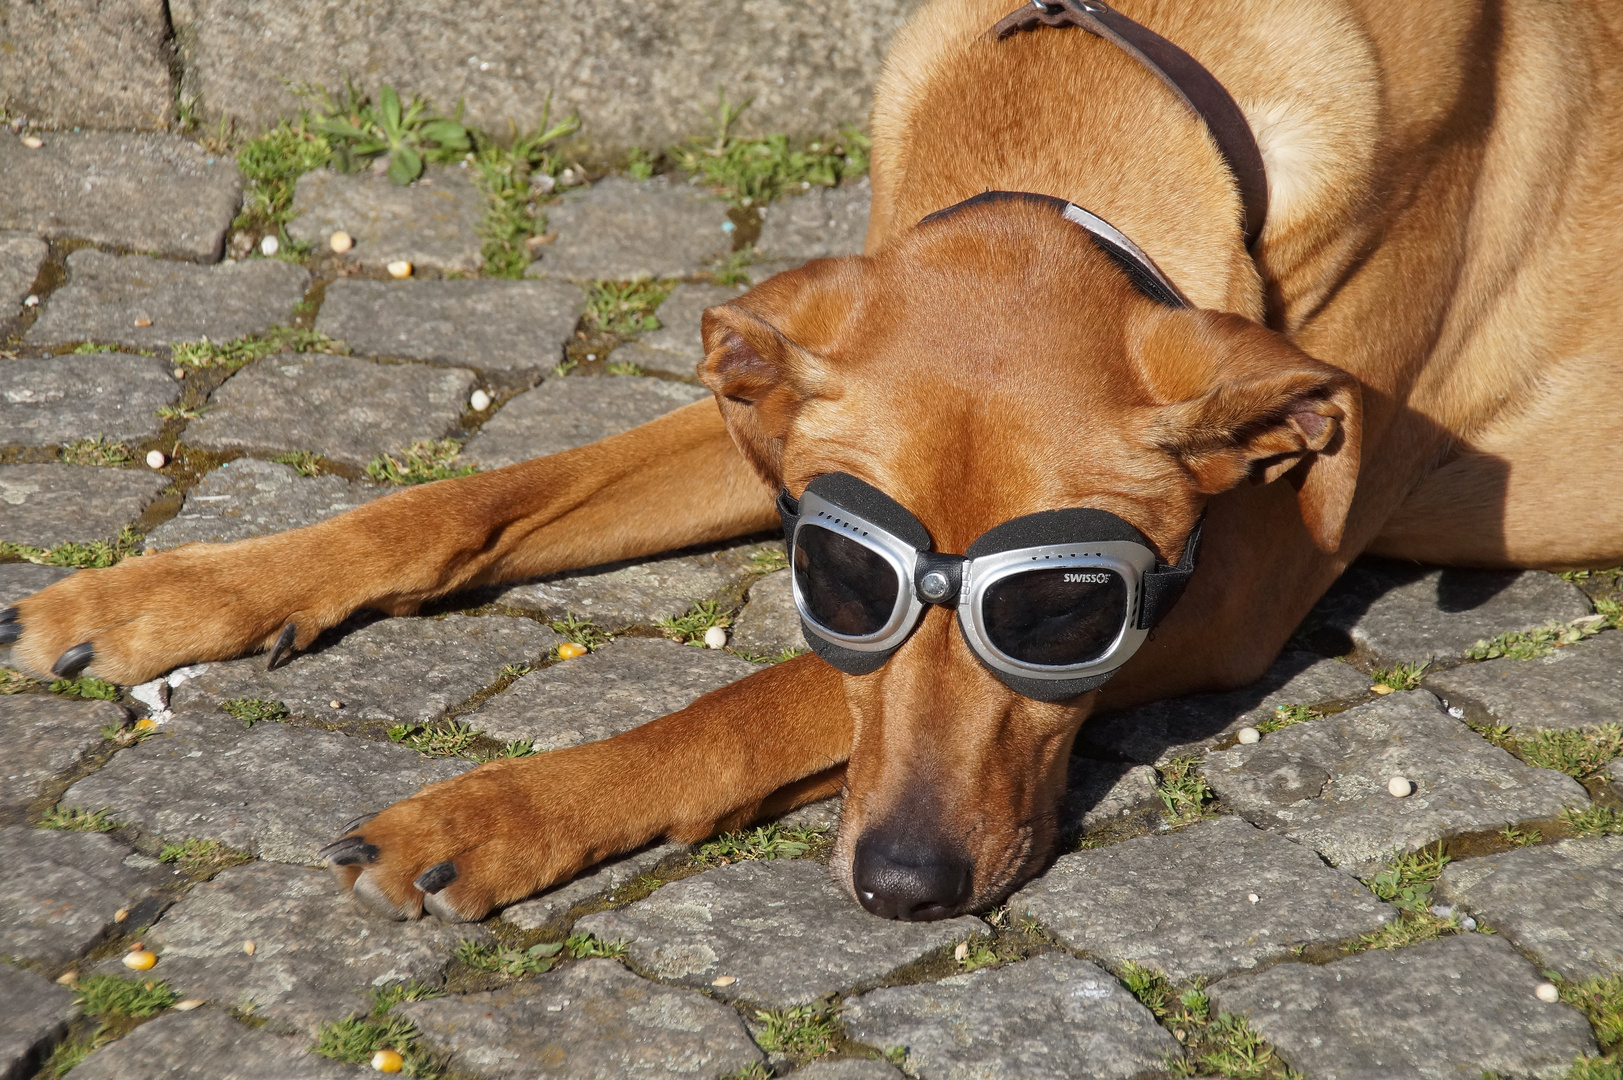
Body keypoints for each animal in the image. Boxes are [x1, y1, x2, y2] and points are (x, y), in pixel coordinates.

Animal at [3, 0, 1623, 922]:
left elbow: (752, 701)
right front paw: (163, 593)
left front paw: (500, 812)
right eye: (842, 576)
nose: (907, 889)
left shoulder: (1219, 596)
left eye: (1061, 611)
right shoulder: (780, 427)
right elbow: (470, 502)